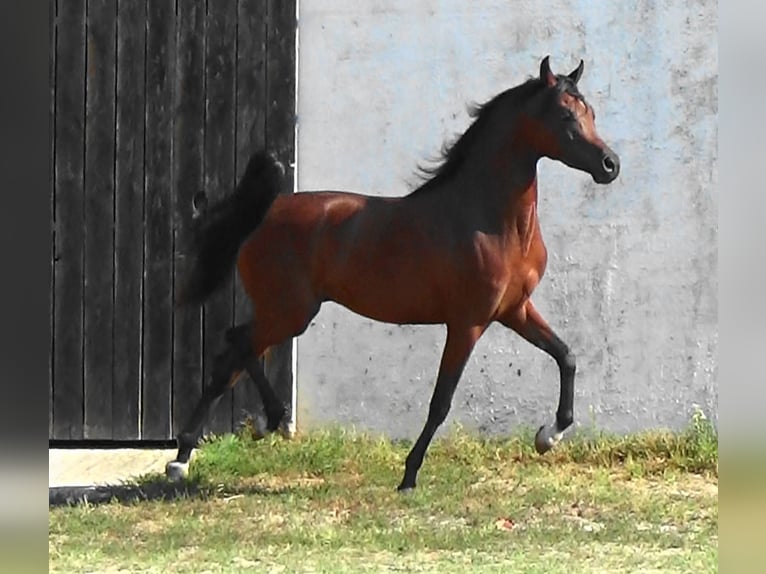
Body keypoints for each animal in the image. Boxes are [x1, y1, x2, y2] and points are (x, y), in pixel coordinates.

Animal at [165, 56, 620, 491]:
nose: (610, 165)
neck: (492, 220)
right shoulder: (468, 323)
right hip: (289, 312)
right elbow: (441, 402)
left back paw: (204, 449)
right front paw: (409, 475)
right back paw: (235, 434)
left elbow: (566, 356)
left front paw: (549, 435)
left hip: (284, 313)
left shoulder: (515, 310)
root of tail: (264, 214)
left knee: (230, 354)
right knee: (235, 344)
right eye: (566, 115)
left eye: (592, 112)